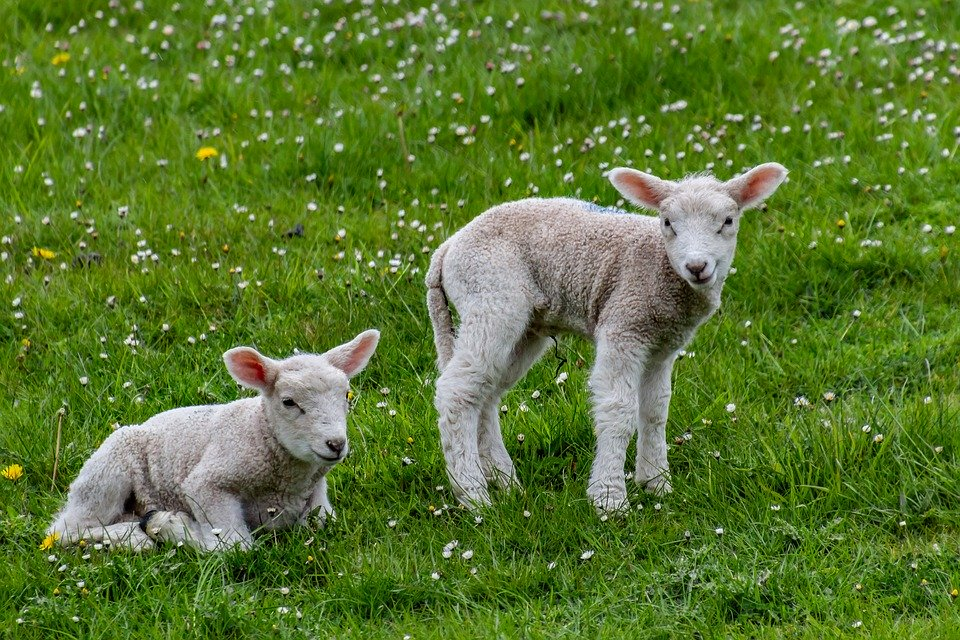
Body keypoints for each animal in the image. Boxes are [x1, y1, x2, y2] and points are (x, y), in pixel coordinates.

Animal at [47, 330, 380, 551]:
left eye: (347, 395)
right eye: (288, 402)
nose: (336, 444)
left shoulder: (317, 501)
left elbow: (322, 524)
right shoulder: (208, 483)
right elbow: (234, 546)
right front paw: (177, 528)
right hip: (108, 470)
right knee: (68, 529)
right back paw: (140, 535)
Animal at [426, 164, 788, 514]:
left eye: (728, 221)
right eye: (667, 223)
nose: (697, 266)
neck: (659, 266)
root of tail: (446, 249)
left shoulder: (662, 345)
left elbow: (655, 410)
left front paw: (656, 484)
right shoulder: (623, 326)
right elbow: (619, 409)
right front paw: (610, 499)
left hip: (524, 327)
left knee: (485, 394)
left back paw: (506, 483)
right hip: (491, 298)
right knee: (457, 392)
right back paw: (474, 496)